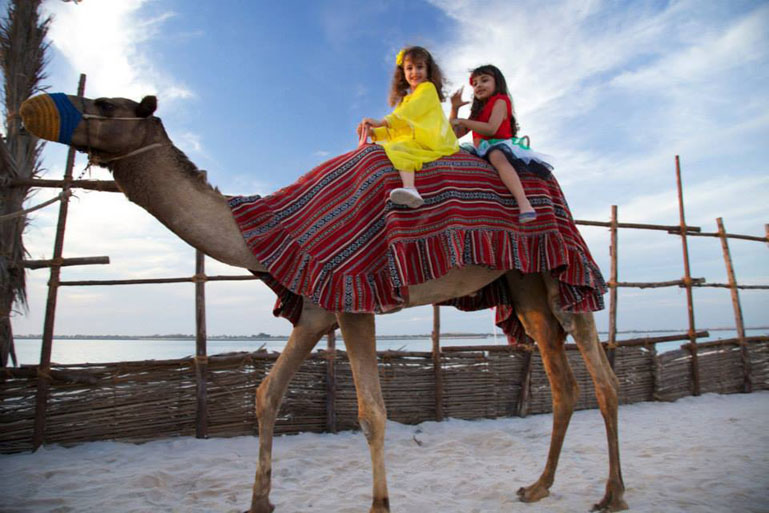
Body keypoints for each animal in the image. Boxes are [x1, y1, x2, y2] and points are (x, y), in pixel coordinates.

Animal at [21, 93, 628, 512]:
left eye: (105, 104)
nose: (35, 108)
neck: (269, 228)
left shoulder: (355, 294)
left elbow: (372, 412)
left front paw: (379, 504)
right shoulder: (315, 309)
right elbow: (266, 393)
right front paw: (259, 500)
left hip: (561, 267)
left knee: (603, 378)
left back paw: (612, 495)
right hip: (522, 282)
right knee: (562, 379)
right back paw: (538, 486)